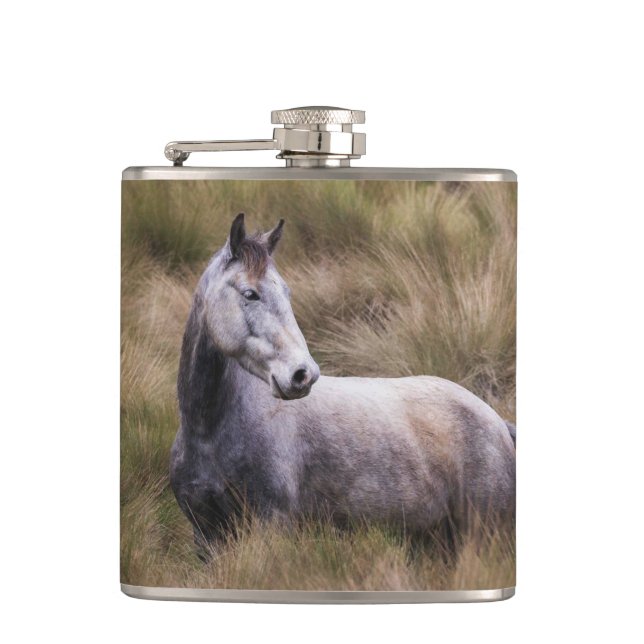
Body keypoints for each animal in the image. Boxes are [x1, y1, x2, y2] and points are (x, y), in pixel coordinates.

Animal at [170, 213, 516, 555]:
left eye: (287, 293)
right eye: (250, 293)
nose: (303, 374)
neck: (209, 432)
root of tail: (496, 421)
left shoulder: (272, 525)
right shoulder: (206, 535)